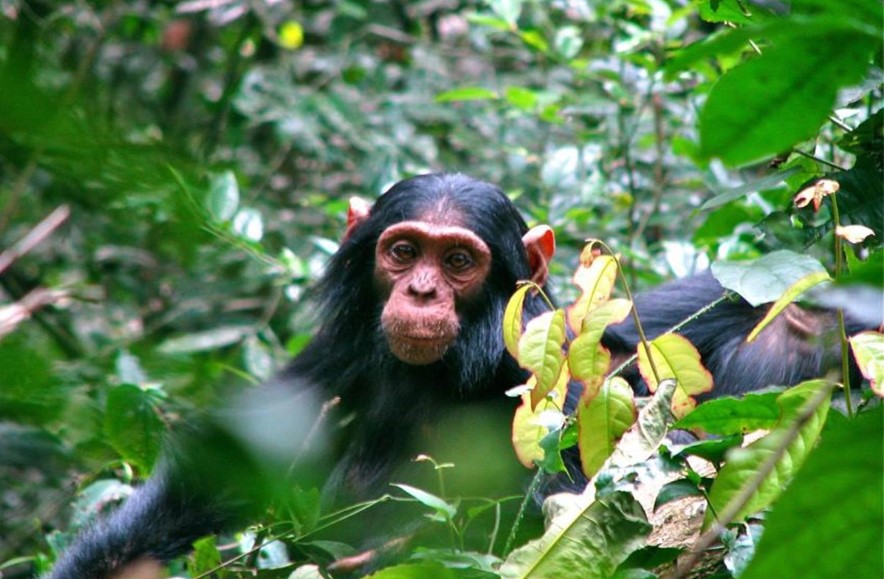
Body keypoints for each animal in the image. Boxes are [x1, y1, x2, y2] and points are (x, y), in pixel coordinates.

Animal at [46, 173, 872, 579]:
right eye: (404, 251)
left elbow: (587, 521)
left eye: (459, 261)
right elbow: (214, 480)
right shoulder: (333, 359)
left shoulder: (567, 393)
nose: (420, 292)